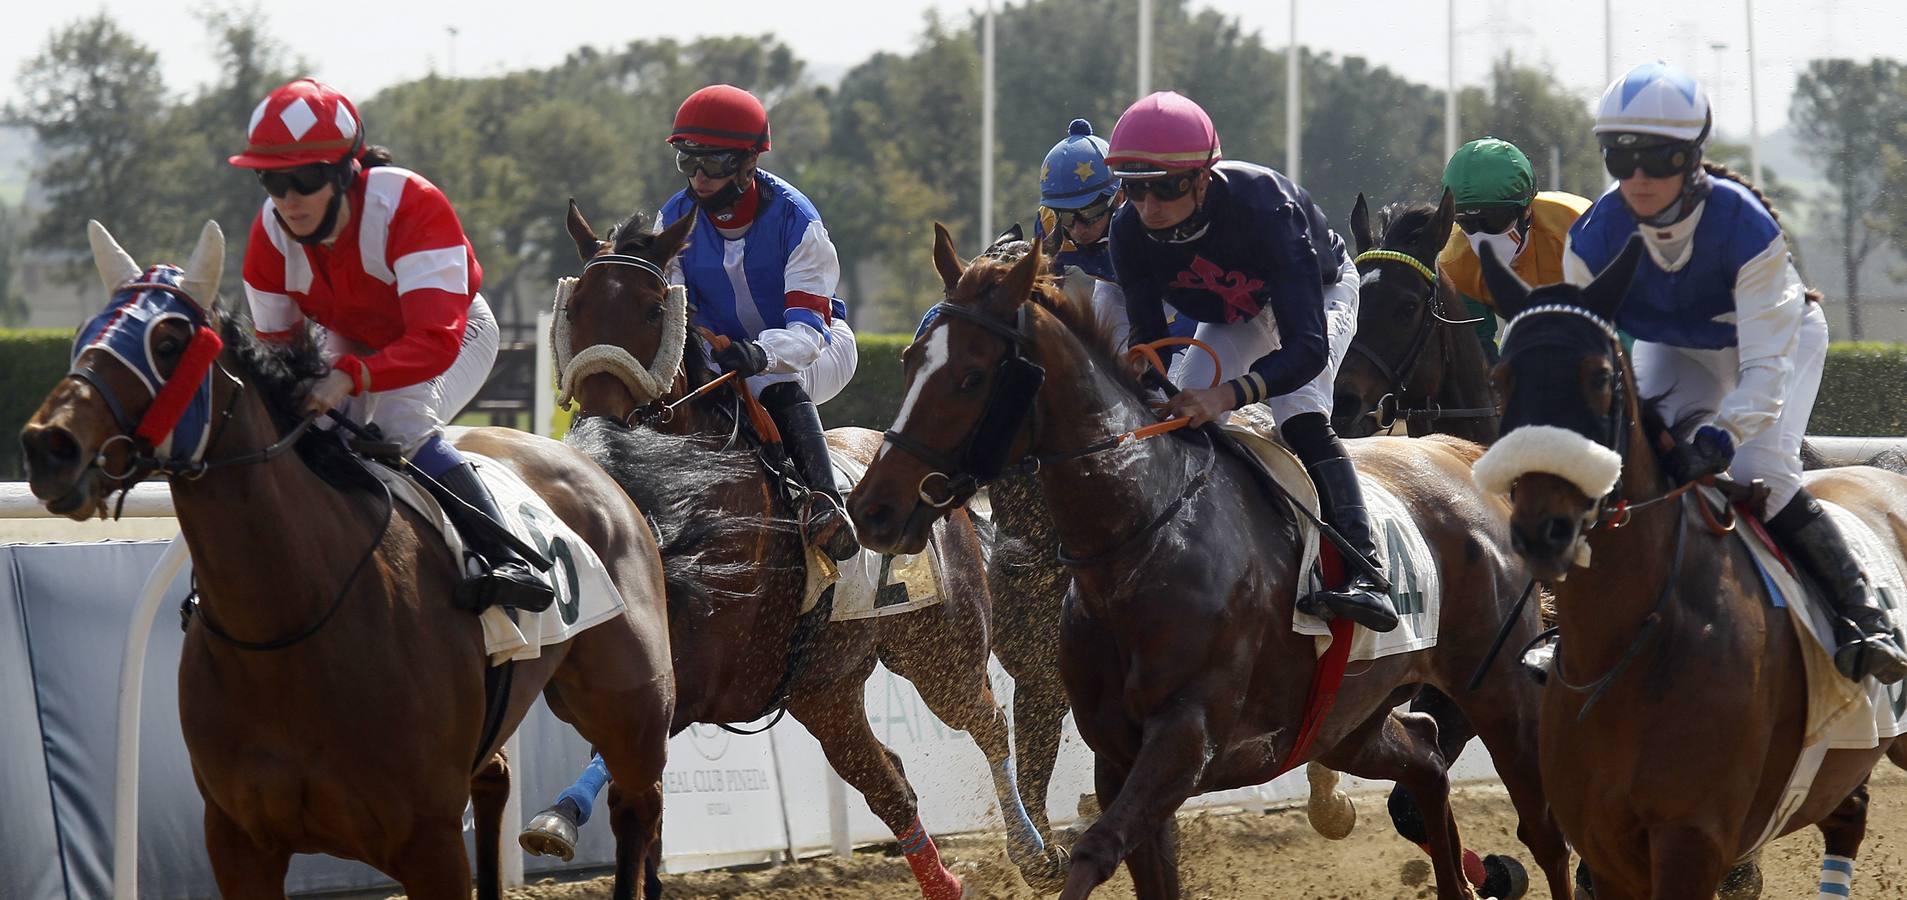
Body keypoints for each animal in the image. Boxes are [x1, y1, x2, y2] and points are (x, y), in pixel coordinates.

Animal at [20, 221, 678, 896]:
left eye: (169, 341)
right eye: (84, 334)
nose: (49, 446)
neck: (289, 623)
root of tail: (592, 457)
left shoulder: (429, 840)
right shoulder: (236, 839)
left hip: (629, 709)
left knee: (636, 804)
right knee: (499, 777)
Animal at [518, 205, 1060, 900]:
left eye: (651, 308)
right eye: (578, 304)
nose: (599, 423)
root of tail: (949, 498)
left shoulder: (702, 676)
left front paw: (558, 818)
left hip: (943, 652)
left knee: (987, 725)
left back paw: (1032, 851)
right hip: (824, 690)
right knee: (890, 785)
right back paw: (946, 881)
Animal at [854, 226, 1578, 900]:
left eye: (972, 376)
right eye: (910, 360)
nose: (872, 507)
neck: (1141, 540)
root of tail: (1457, 459)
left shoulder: (1187, 734)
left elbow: (1095, 850)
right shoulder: (1118, 752)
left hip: (1498, 689)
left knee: (1544, 830)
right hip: (1349, 719)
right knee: (1424, 757)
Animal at [1464, 239, 1899, 900]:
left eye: (1599, 377)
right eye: (1500, 378)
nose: (1543, 528)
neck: (1624, 652)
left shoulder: (1691, 842)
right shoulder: (1605, 849)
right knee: (1849, 815)